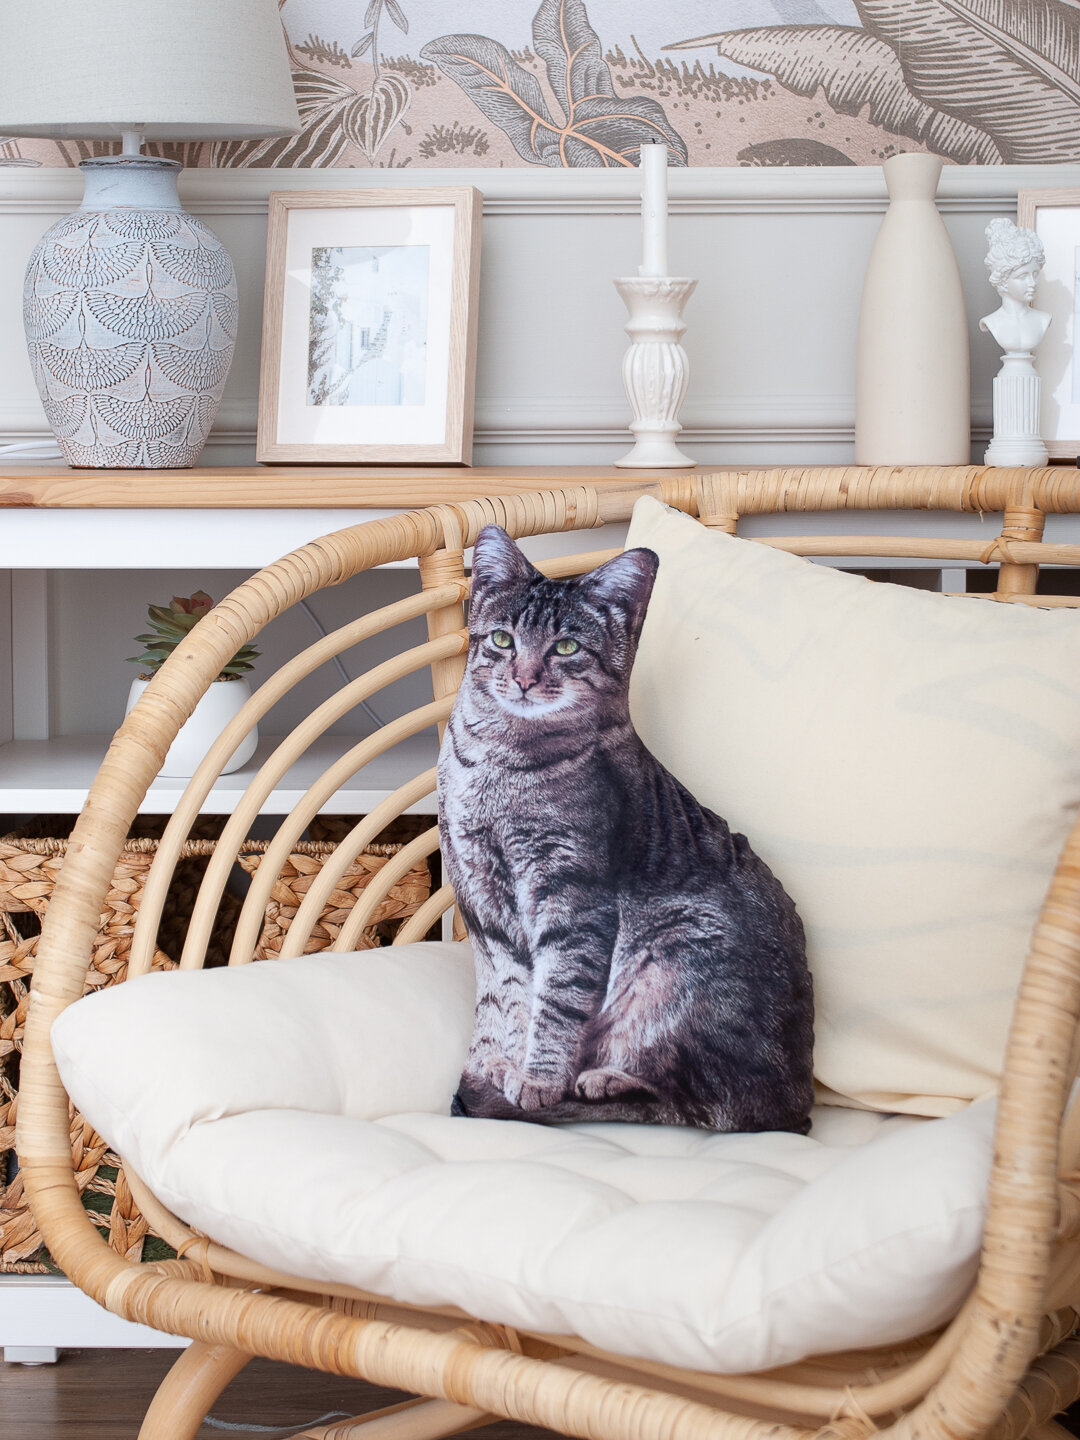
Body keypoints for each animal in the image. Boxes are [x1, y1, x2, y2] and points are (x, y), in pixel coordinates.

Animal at [437, 524, 814, 1133]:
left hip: (677, 944)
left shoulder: (572, 894)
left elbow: (556, 998)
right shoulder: (483, 900)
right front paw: (501, 1061)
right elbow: (508, 996)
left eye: (566, 648)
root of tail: (800, 1107)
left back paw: (600, 1080)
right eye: (501, 639)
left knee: (699, 1099)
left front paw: (536, 1081)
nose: (523, 679)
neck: (499, 760)